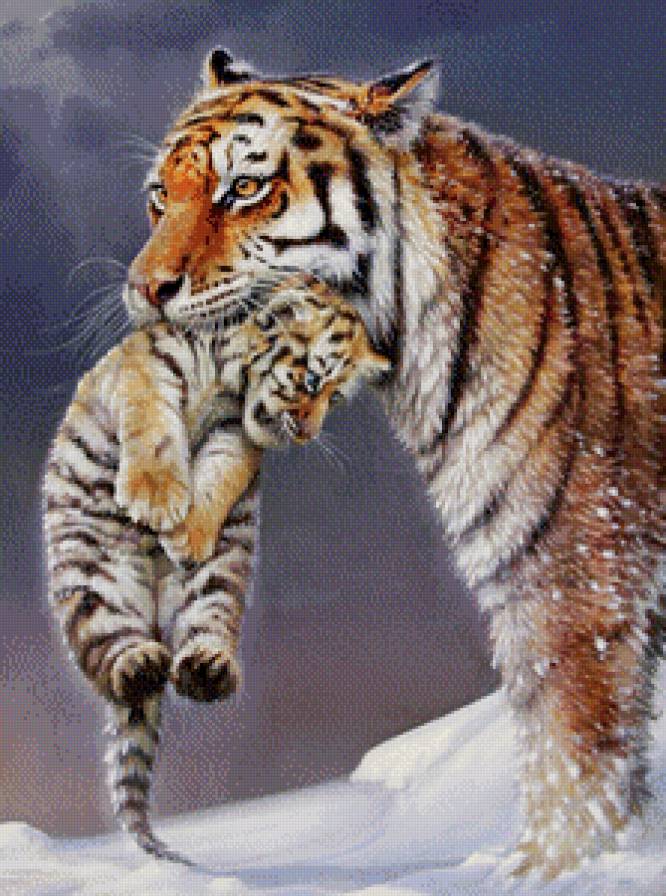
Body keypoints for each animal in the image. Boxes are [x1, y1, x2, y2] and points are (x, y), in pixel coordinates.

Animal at [43, 276, 390, 862]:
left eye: (336, 397)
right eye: (312, 381)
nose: (305, 433)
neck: (231, 374)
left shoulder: (236, 432)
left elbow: (223, 472)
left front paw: (187, 531)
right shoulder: (150, 368)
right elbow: (155, 426)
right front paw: (155, 500)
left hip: (218, 583)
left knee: (201, 634)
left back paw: (205, 670)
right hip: (94, 572)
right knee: (111, 662)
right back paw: (139, 664)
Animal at [119, 47, 666, 878]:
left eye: (243, 188)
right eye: (159, 196)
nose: (145, 290)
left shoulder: (575, 582)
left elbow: (574, 763)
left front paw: (549, 872)